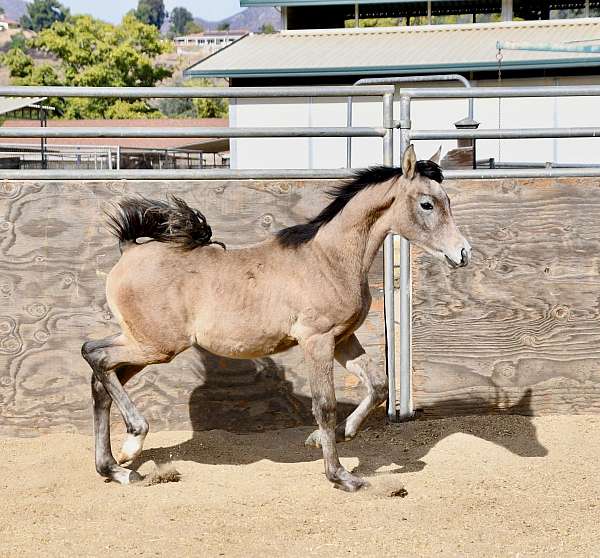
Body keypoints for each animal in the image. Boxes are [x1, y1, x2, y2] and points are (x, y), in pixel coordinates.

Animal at [82, 147, 472, 492]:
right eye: (427, 204)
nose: (463, 253)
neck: (329, 259)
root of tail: (129, 250)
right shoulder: (317, 340)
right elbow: (325, 405)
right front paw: (341, 477)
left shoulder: (343, 338)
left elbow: (378, 385)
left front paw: (332, 436)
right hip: (156, 346)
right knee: (94, 355)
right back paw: (133, 438)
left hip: (143, 345)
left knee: (101, 378)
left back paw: (116, 468)